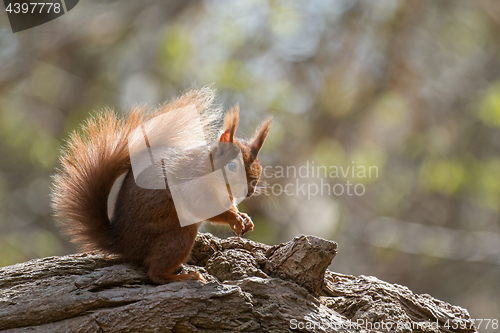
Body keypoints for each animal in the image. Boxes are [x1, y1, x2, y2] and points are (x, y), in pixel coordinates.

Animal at [50, 87, 270, 282]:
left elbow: (231, 206)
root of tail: (122, 243)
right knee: (155, 273)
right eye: (232, 166)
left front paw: (244, 217)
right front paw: (234, 218)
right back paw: (186, 277)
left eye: (259, 168)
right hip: (178, 234)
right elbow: (204, 207)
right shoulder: (194, 186)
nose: (249, 192)